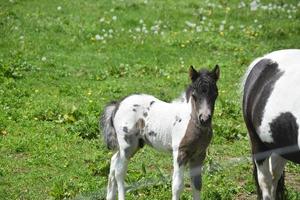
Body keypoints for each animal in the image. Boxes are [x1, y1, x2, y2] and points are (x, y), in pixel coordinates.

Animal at [99, 65, 219, 199]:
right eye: (194, 95)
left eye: (215, 94)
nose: (204, 119)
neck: (191, 121)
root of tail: (118, 104)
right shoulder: (180, 153)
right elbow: (177, 186)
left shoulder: (199, 155)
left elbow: (197, 184)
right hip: (127, 145)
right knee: (119, 172)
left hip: (133, 145)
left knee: (113, 163)